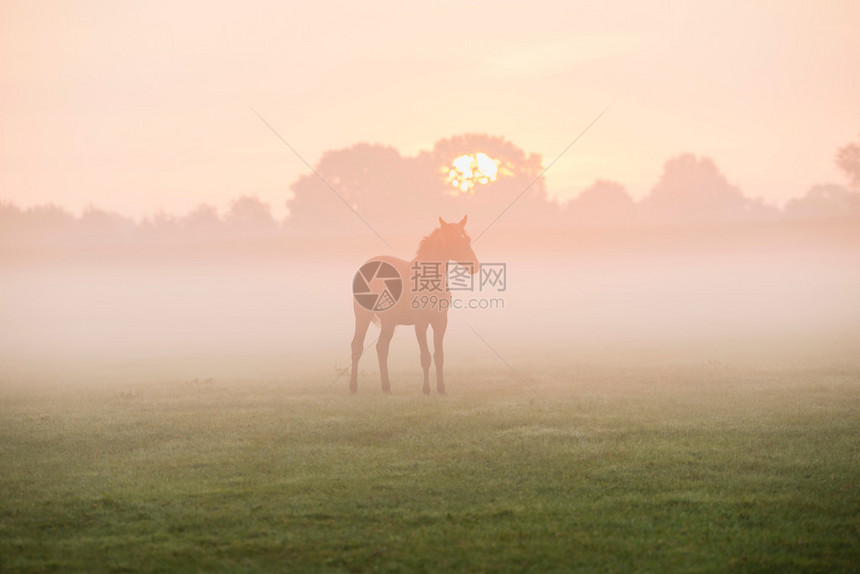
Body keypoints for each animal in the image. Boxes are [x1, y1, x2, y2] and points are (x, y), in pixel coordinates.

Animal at [352, 216, 480, 396]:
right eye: (454, 239)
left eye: (467, 238)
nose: (474, 266)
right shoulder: (420, 323)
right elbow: (425, 357)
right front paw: (426, 390)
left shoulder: (441, 322)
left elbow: (439, 356)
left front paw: (441, 389)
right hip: (362, 316)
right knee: (357, 346)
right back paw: (353, 387)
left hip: (389, 322)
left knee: (382, 348)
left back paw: (386, 387)